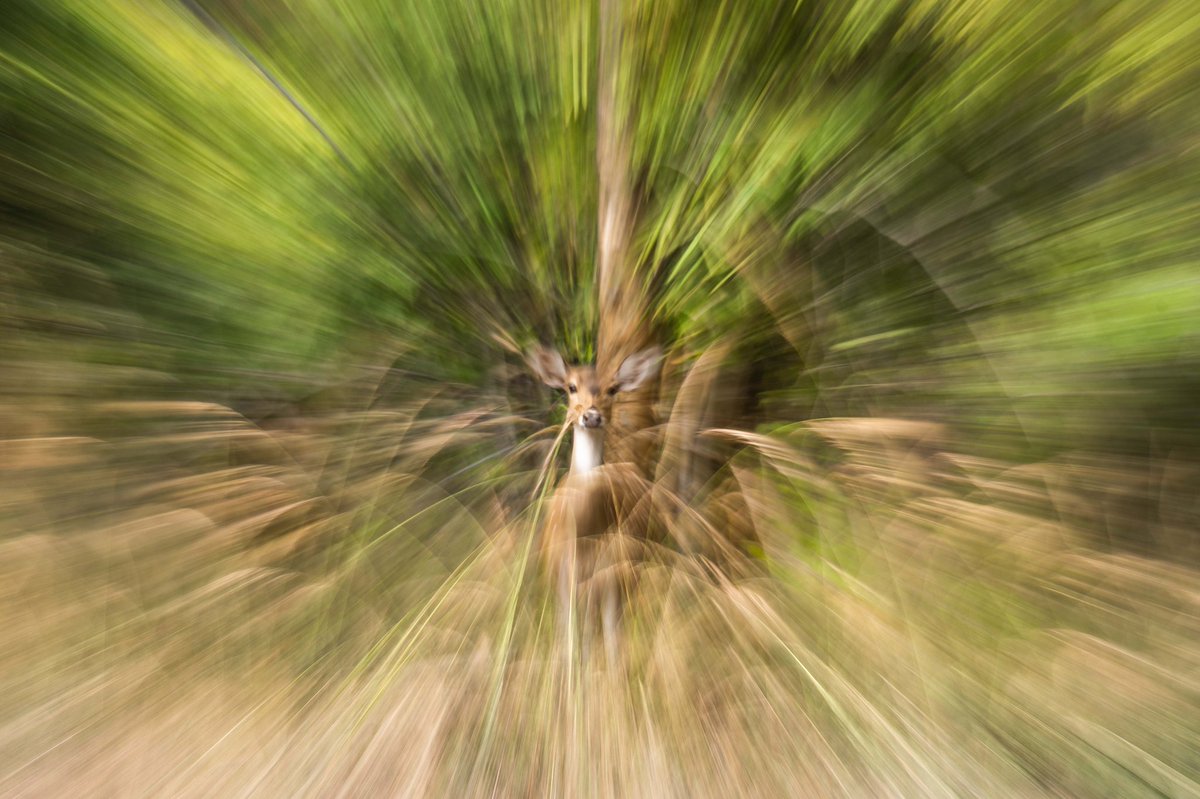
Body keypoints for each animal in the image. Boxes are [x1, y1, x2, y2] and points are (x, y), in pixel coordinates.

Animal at [528, 343, 662, 657]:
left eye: (612, 389)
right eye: (571, 386)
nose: (591, 416)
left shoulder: (611, 574)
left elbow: (609, 640)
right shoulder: (562, 575)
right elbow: (569, 637)